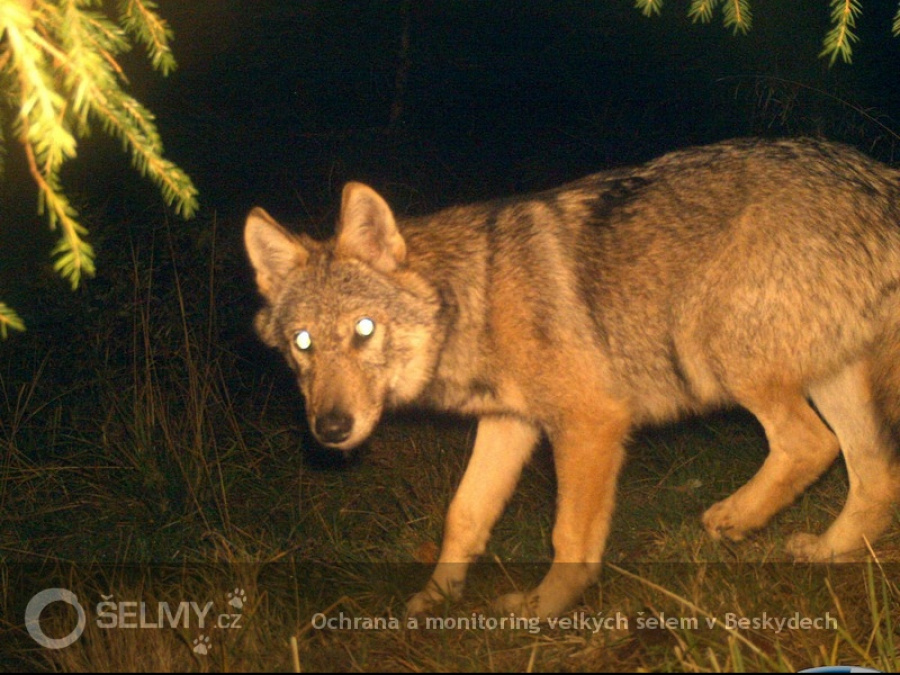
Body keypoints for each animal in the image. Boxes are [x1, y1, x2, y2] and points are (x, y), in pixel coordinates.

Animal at [244, 140, 900, 620]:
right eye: (303, 343)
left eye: (363, 328)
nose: (330, 429)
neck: (475, 298)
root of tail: (879, 180)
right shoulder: (509, 424)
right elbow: (463, 516)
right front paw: (434, 599)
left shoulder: (590, 422)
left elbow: (569, 536)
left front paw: (542, 609)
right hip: (827, 379)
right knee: (874, 476)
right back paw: (826, 551)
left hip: (720, 353)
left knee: (810, 445)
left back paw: (734, 517)